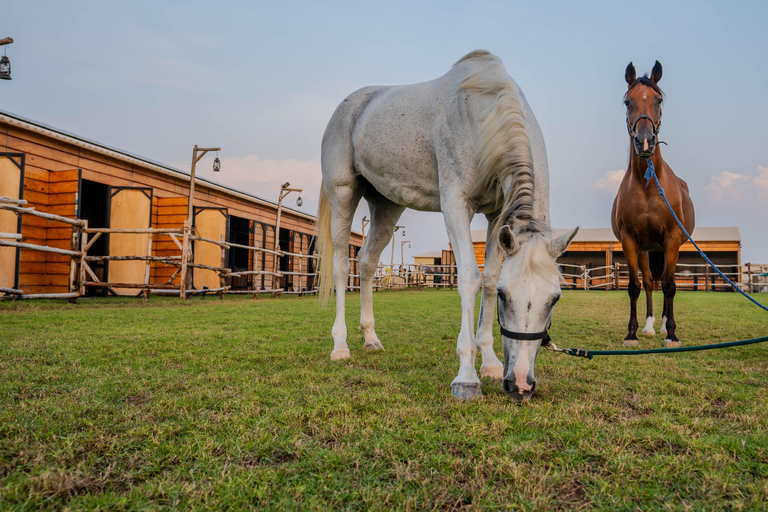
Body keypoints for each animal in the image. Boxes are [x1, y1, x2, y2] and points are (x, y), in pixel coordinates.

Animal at [314, 52, 576, 404]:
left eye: (556, 298)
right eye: (506, 297)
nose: (520, 384)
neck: (483, 113)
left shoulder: (496, 215)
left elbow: (488, 279)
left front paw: (490, 362)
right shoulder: (456, 205)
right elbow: (469, 278)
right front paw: (467, 377)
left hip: (385, 206)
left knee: (367, 262)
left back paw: (371, 338)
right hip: (342, 194)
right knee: (343, 266)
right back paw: (340, 346)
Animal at [612, 61, 696, 348]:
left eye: (658, 100)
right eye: (627, 102)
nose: (645, 141)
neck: (648, 185)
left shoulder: (671, 240)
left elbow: (670, 286)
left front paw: (671, 334)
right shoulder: (630, 242)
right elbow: (635, 286)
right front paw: (631, 333)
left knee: (665, 285)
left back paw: (661, 325)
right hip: (645, 249)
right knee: (649, 283)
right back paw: (649, 326)